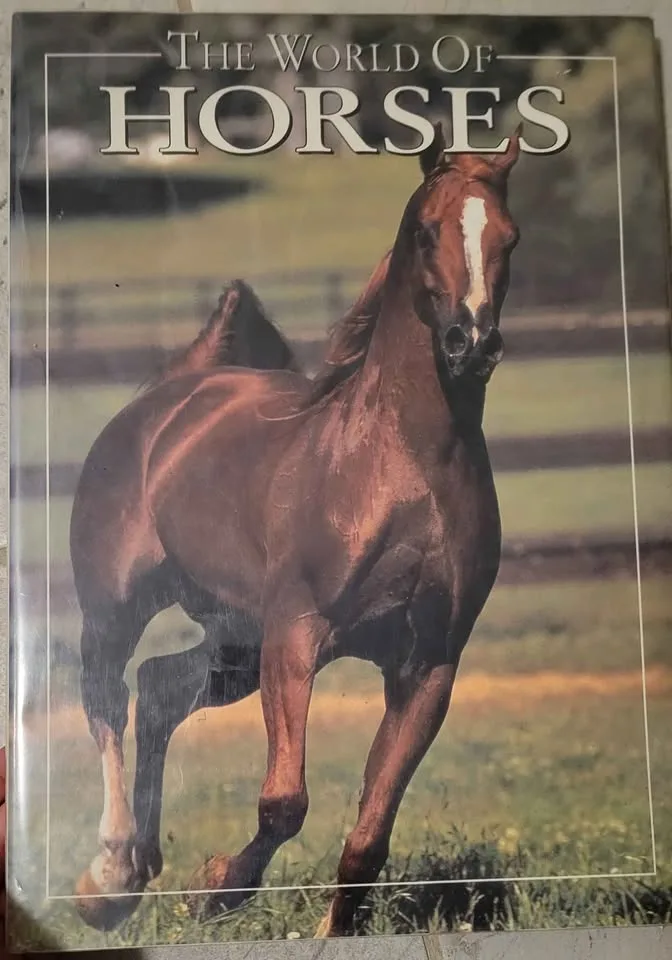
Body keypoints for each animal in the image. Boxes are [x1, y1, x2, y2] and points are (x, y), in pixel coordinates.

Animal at [70, 123, 521, 938]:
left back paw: (143, 866)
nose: (471, 342)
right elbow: (284, 801)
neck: (400, 470)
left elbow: (370, 834)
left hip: (232, 639)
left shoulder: (427, 665)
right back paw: (110, 879)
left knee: (158, 689)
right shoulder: (295, 637)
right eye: (426, 229)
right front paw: (216, 888)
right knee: (105, 698)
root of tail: (167, 399)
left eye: (509, 236)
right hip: (119, 608)